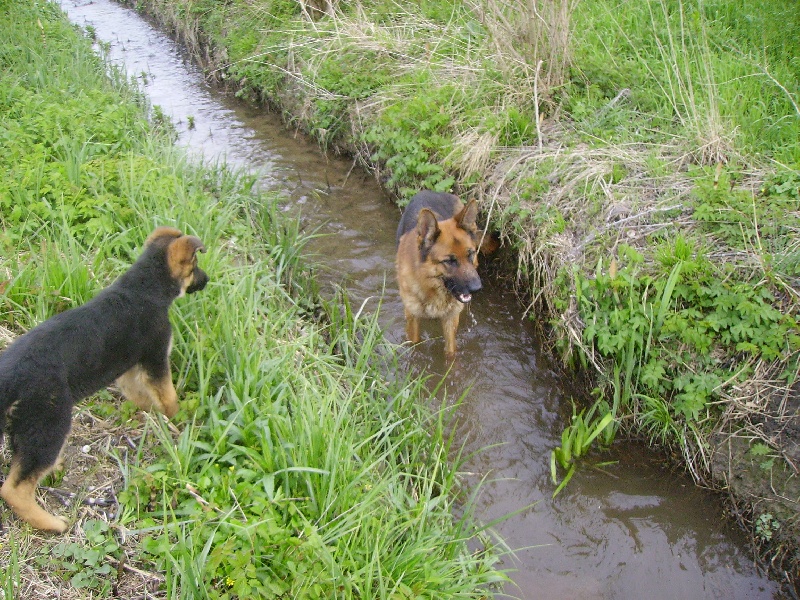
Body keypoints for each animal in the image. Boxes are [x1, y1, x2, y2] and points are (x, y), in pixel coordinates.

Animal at [0, 227, 209, 532]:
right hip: (49, 422)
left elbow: (140, 396)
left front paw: (151, 416)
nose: (207, 280)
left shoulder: (129, 369)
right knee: (14, 489)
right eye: (195, 266)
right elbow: (168, 396)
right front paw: (178, 421)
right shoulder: (156, 357)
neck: (143, 286)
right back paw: (52, 523)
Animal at [394, 191, 482, 356]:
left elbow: (450, 352)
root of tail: (430, 191)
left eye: (470, 254)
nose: (477, 288)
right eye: (450, 261)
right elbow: (415, 344)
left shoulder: (450, 320)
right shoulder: (412, 318)